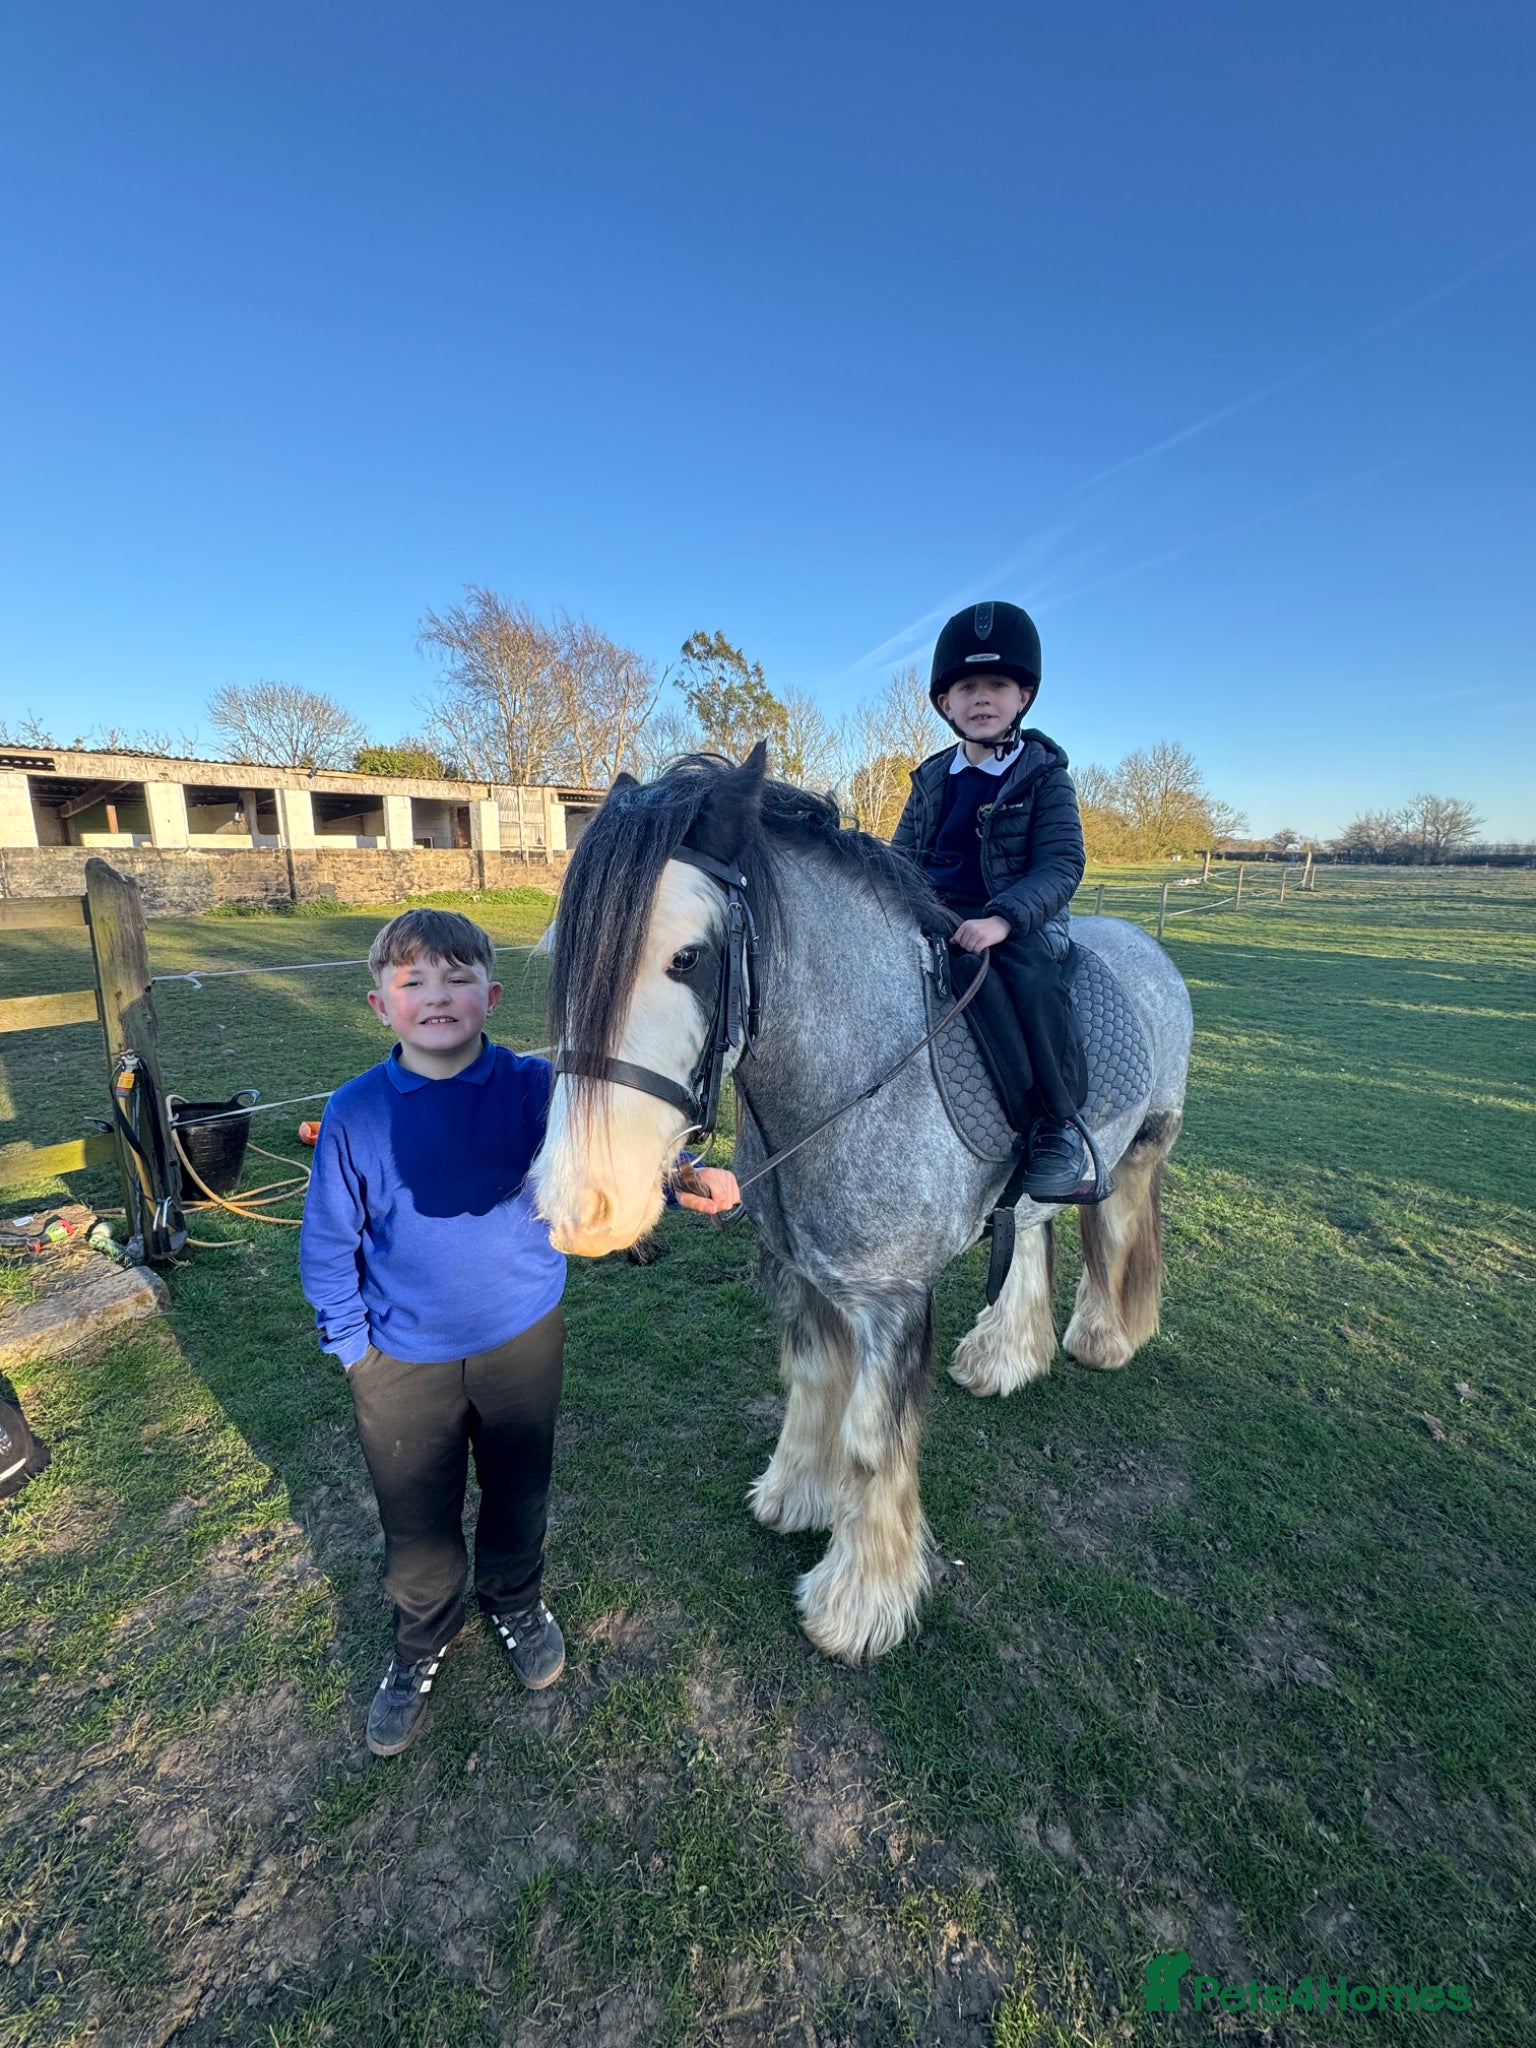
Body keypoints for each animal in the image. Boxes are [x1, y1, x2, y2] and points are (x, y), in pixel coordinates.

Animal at [531, 747, 1193, 1664]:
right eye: (563, 953)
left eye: (688, 959)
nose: (581, 1205)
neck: (852, 1077)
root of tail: (1141, 943)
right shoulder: (802, 1273)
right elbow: (813, 1383)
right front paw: (796, 1497)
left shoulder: (892, 1302)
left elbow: (873, 1441)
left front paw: (858, 1603)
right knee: (1031, 1229)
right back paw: (1005, 1357)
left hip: (1142, 1148)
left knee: (1122, 1234)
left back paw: (1104, 1338)